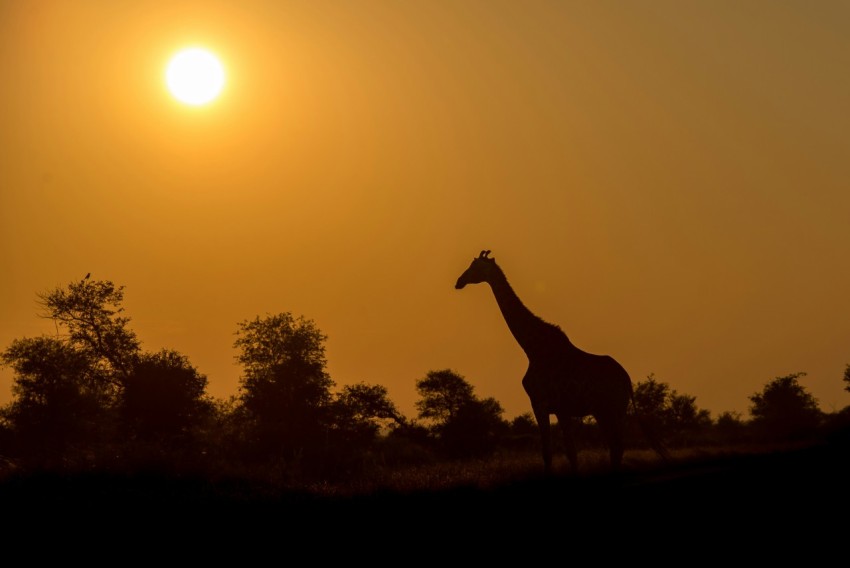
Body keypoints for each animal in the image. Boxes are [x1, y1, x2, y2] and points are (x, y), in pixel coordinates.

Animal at [455, 250, 648, 474]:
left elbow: (552, 453)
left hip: (610, 409)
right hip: (609, 411)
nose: (459, 281)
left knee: (616, 446)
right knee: (616, 447)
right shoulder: (558, 409)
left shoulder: (542, 404)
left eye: (475, 266)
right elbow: (567, 453)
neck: (532, 349)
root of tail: (626, 379)